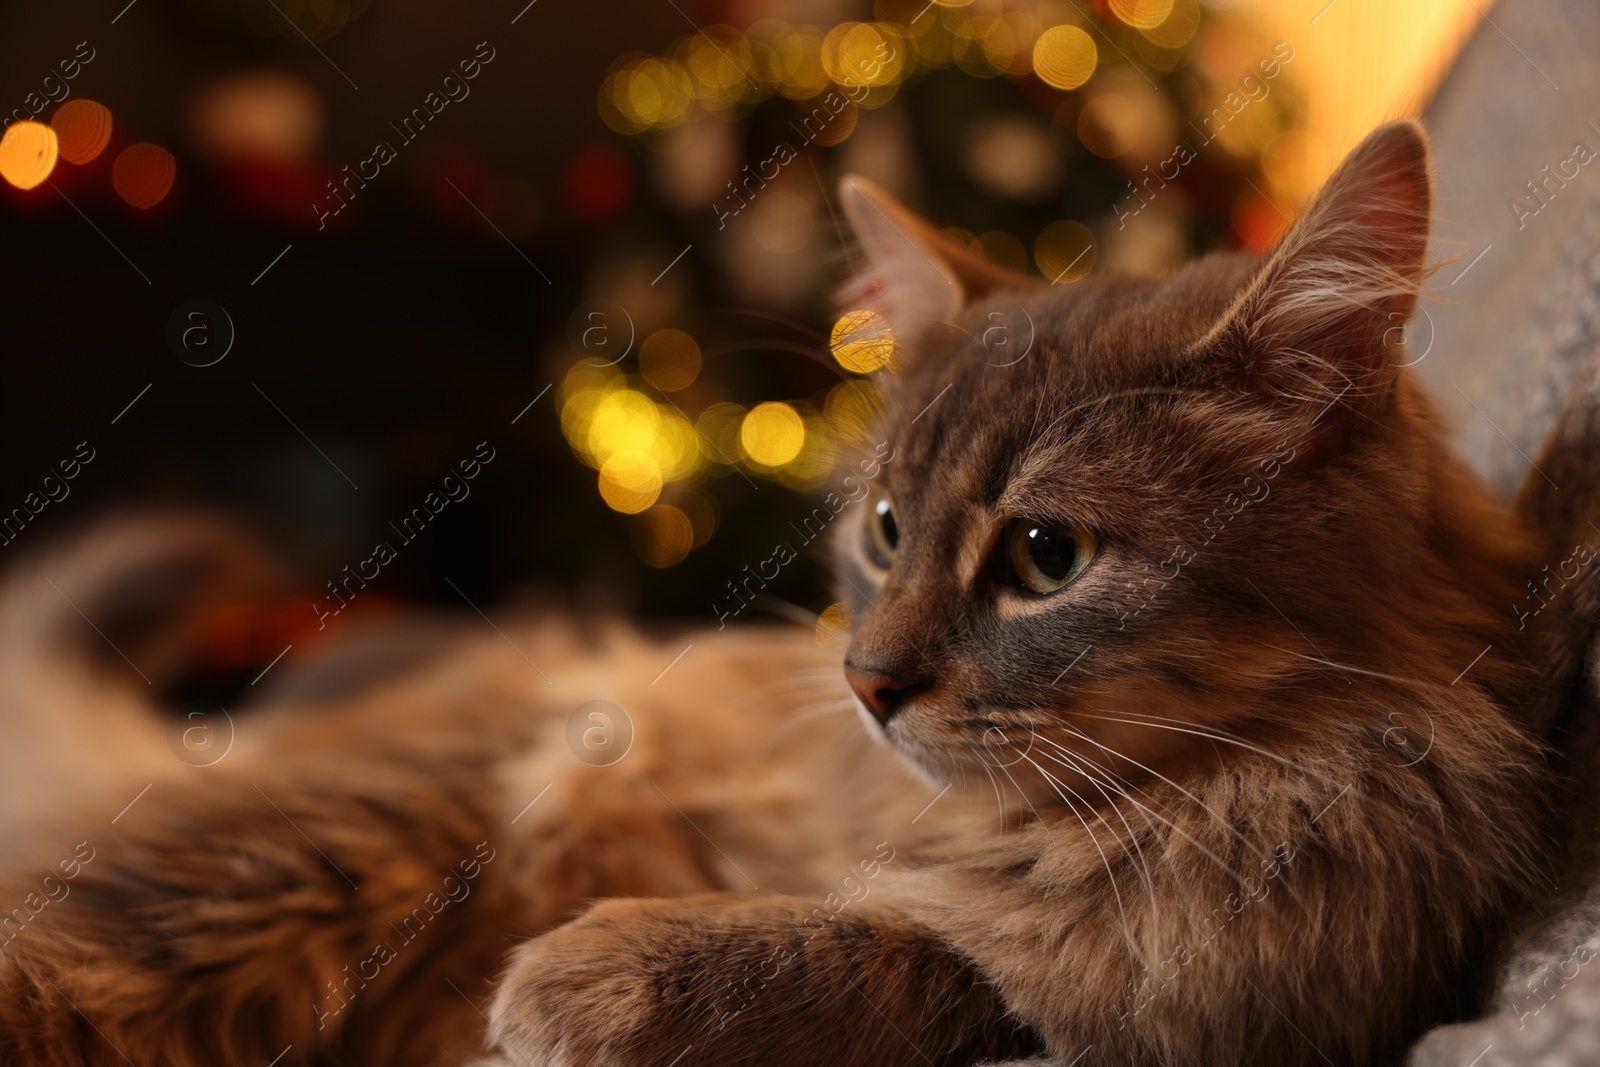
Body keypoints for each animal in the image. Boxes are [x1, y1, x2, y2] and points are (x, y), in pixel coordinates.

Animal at [0, 120, 1548, 1062]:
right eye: (883, 527)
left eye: (1048, 556)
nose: (867, 683)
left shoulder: (1169, 995)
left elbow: (886, 956)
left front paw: (585, 975)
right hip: (320, 842)